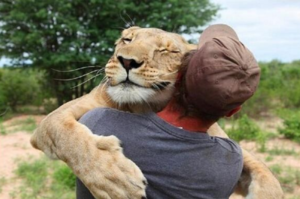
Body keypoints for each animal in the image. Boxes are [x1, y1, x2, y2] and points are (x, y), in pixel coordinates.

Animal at [31, 26, 284, 199]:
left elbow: (264, 170)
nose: (127, 61)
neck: (146, 106)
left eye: (166, 50)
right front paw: (113, 177)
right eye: (127, 39)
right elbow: (67, 135)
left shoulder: (227, 143)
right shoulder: (57, 118)